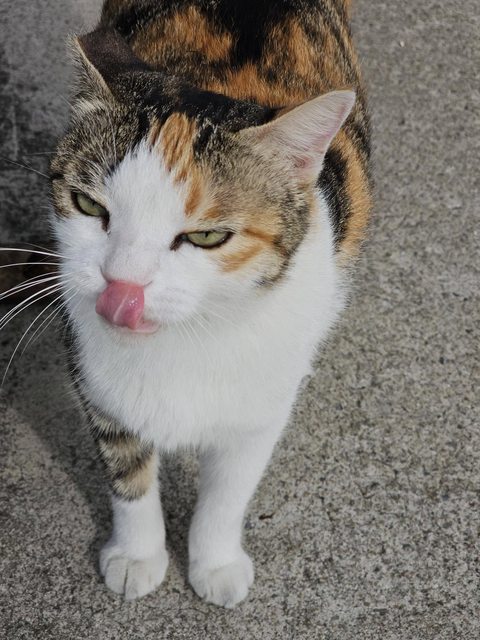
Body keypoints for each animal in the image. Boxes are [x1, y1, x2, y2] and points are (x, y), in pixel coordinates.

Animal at [47, 0, 372, 608]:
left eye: (205, 237)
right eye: (88, 205)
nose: (122, 284)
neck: (187, 337)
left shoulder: (264, 399)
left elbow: (230, 489)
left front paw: (215, 563)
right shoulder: (93, 377)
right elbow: (127, 470)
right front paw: (138, 555)